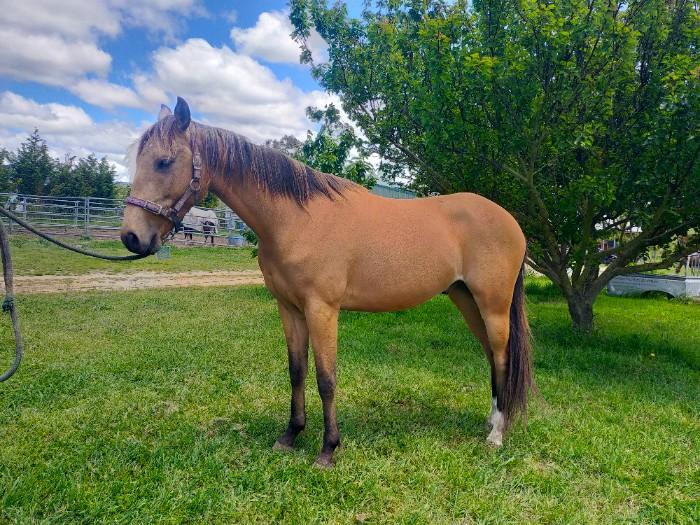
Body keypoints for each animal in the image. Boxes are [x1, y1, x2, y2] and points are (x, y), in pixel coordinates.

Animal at [121, 97, 534, 468]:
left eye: (164, 161)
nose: (131, 237)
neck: (296, 220)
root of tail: (511, 222)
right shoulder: (289, 309)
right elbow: (296, 372)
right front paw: (290, 435)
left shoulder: (322, 310)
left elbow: (326, 378)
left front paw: (328, 449)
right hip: (466, 300)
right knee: (491, 356)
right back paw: (491, 421)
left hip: (492, 305)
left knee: (501, 356)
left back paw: (496, 435)